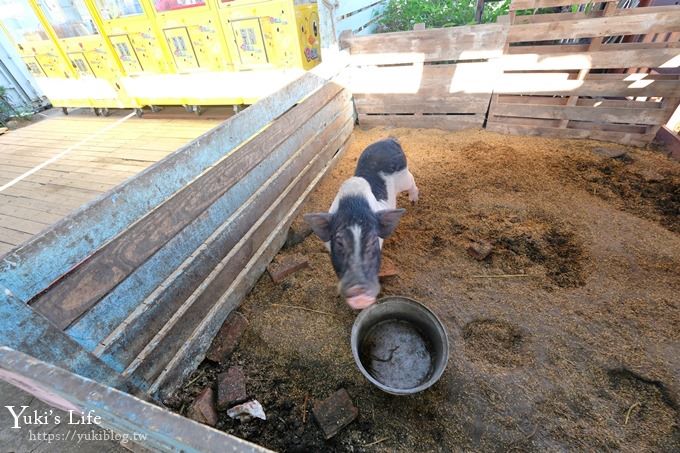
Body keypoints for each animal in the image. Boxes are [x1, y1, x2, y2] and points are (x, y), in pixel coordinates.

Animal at [304, 136, 420, 308]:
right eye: (339, 243)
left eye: (372, 241)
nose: (359, 292)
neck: (354, 206)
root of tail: (389, 140)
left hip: (403, 175)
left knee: (412, 180)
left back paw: (413, 201)